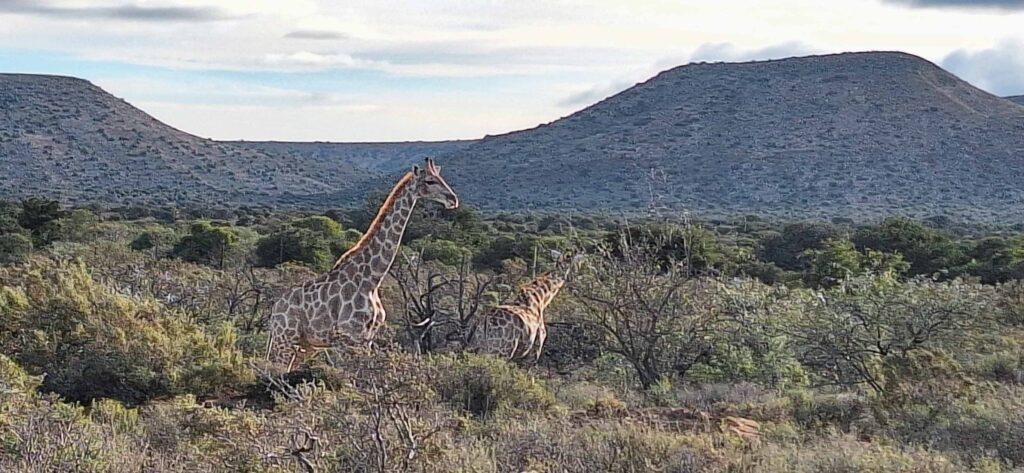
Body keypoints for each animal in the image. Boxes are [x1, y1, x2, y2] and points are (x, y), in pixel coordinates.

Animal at [267, 157, 458, 370]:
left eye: (441, 178)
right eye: (430, 181)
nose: (453, 200)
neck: (372, 279)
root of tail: (274, 310)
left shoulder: (367, 338)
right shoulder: (349, 336)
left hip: (305, 345)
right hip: (285, 340)